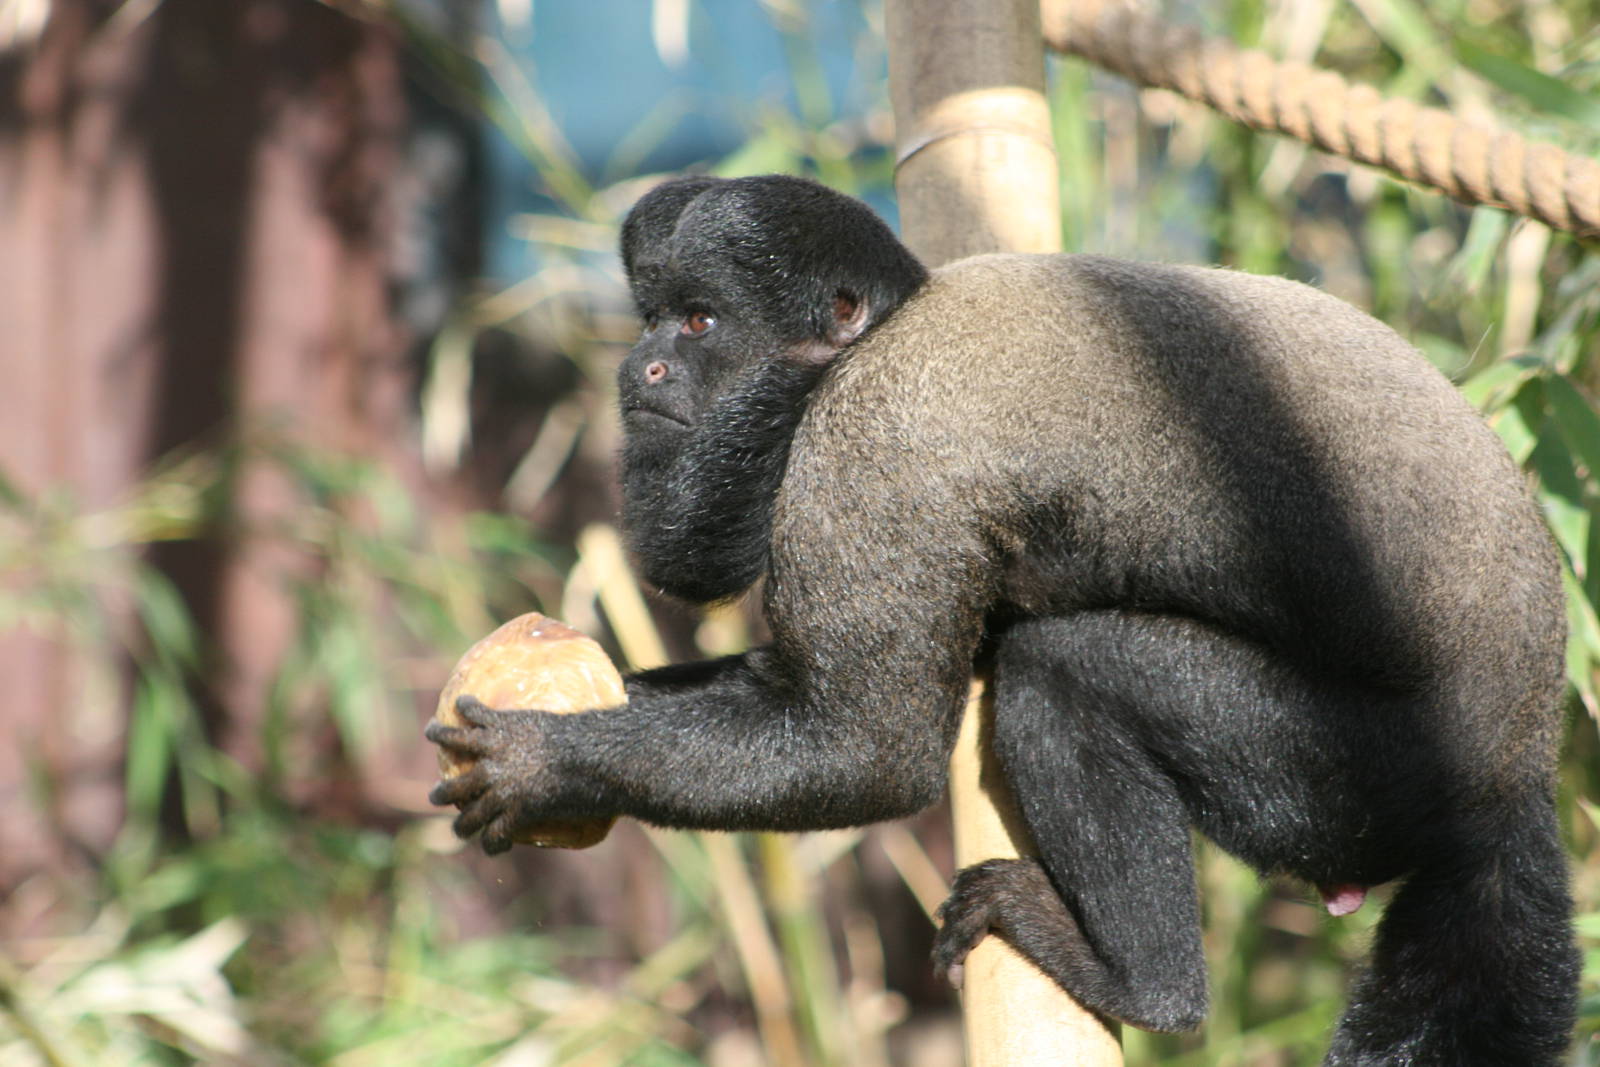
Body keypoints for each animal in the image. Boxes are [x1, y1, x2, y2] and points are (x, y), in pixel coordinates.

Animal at [427, 174, 1579, 1063]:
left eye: (698, 322)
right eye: (650, 318)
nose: (640, 368)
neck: (875, 337)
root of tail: (1518, 766)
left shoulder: (871, 450)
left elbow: (867, 749)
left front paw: (548, 766)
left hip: (1357, 774)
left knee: (1064, 672)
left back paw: (1144, 984)